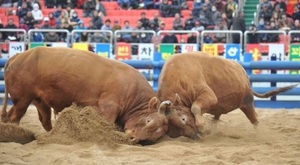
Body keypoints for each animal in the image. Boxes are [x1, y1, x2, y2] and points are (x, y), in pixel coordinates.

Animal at [1, 46, 171, 144]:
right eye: (148, 120)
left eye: (154, 136)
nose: (133, 139)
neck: (131, 89)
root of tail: (19, 56)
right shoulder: (109, 106)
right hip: (22, 99)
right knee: (14, 116)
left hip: (39, 100)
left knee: (45, 120)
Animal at [157, 52, 298, 139]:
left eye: (183, 119)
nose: (194, 136)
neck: (178, 77)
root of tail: (244, 75)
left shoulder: (208, 95)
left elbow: (195, 107)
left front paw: (202, 126)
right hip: (222, 107)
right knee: (216, 118)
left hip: (247, 103)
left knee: (255, 120)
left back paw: (259, 135)